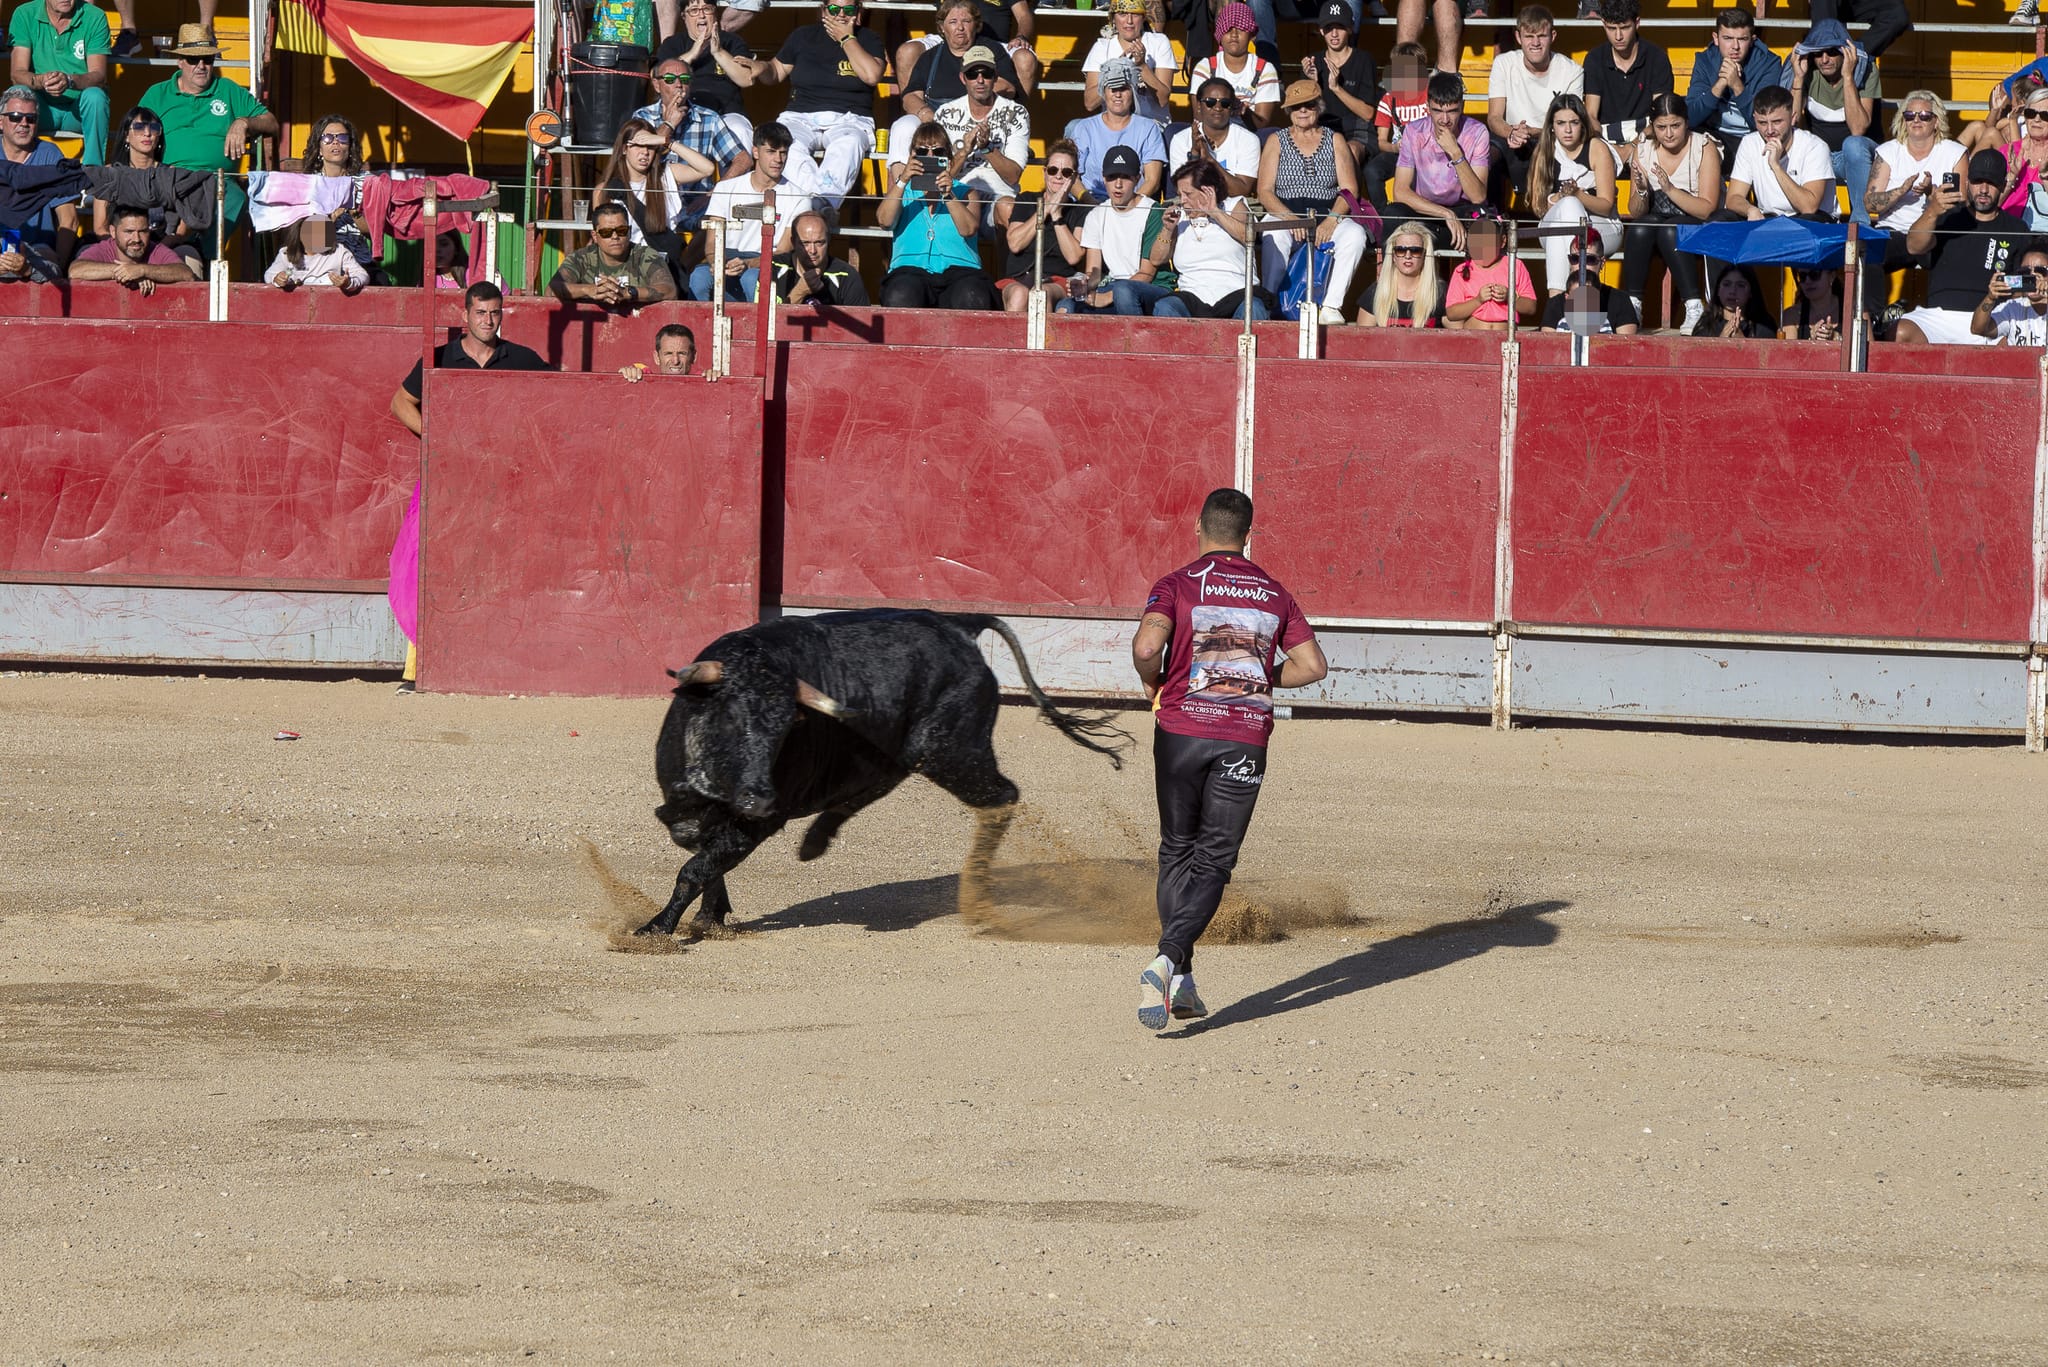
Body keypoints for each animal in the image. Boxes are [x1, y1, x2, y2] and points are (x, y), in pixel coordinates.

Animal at [639, 609, 1132, 939]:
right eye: (730, 717)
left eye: (786, 729)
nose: (760, 799)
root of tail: (959, 627)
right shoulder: (700, 815)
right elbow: (707, 862)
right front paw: (710, 917)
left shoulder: (755, 825)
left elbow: (696, 868)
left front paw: (656, 927)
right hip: (904, 755)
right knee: (872, 787)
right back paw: (815, 840)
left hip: (949, 752)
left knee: (1002, 797)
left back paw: (977, 905)